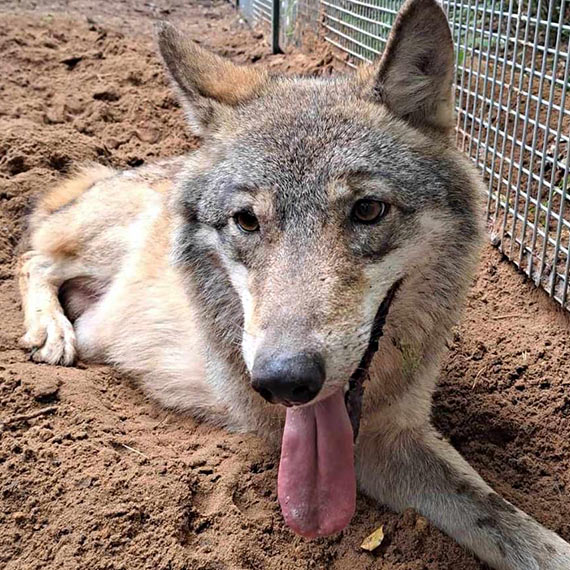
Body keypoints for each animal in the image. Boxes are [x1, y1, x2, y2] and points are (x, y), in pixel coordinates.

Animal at [17, 2, 568, 564]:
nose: (284, 379)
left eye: (368, 210)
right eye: (246, 220)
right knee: (33, 256)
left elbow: (497, 516)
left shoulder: (394, 433)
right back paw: (52, 332)